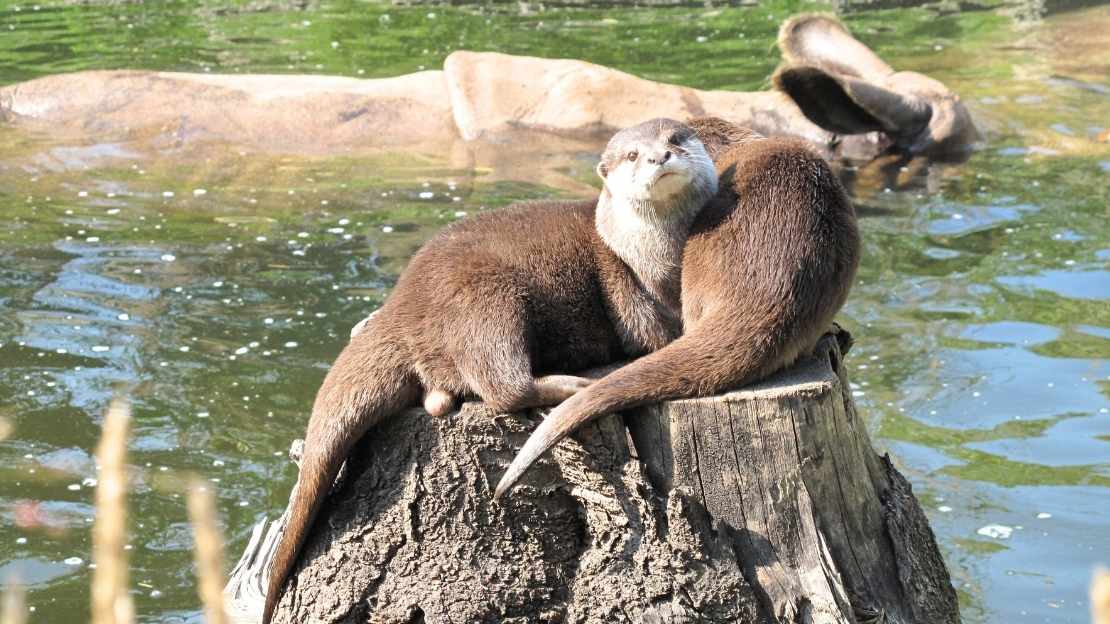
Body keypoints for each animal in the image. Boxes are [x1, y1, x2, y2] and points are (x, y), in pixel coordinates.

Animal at [262, 118, 718, 624]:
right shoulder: (633, 292)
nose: (659, 156)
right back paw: (572, 384)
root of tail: (403, 306)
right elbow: (655, 337)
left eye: (675, 138)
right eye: (633, 154)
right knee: (503, 386)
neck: (658, 254)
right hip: (487, 299)